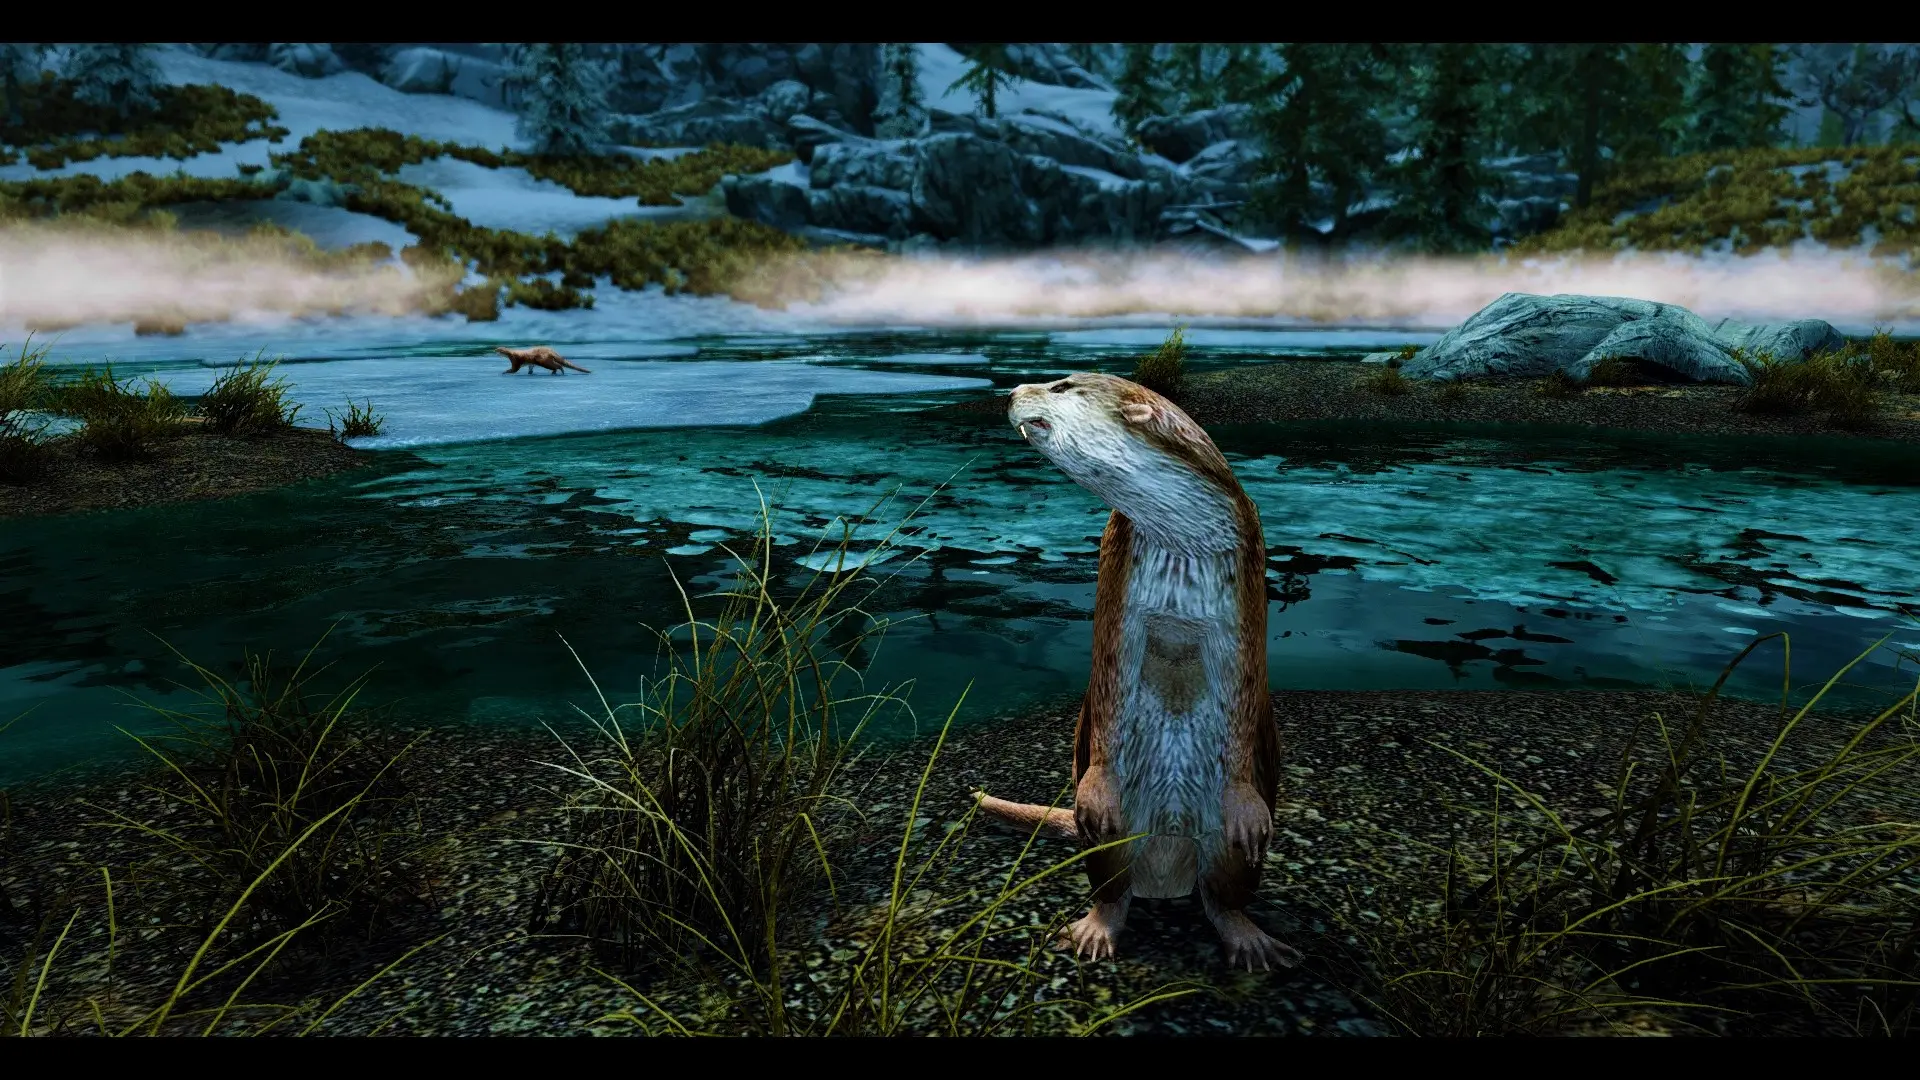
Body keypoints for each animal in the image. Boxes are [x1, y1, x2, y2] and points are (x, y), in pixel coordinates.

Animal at [973, 371, 1301, 972]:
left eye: (1060, 385)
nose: (1010, 392)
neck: (1184, 541)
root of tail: (1166, 878)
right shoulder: (1116, 559)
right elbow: (1108, 670)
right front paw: (1096, 790)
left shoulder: (1250, 567)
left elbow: (1245, 682)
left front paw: (1246, 804)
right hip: (1113, 838)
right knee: (1111, 881)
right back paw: (1095, 929)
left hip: (1225, 850)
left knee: (1224, 892)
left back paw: (1249, 938)